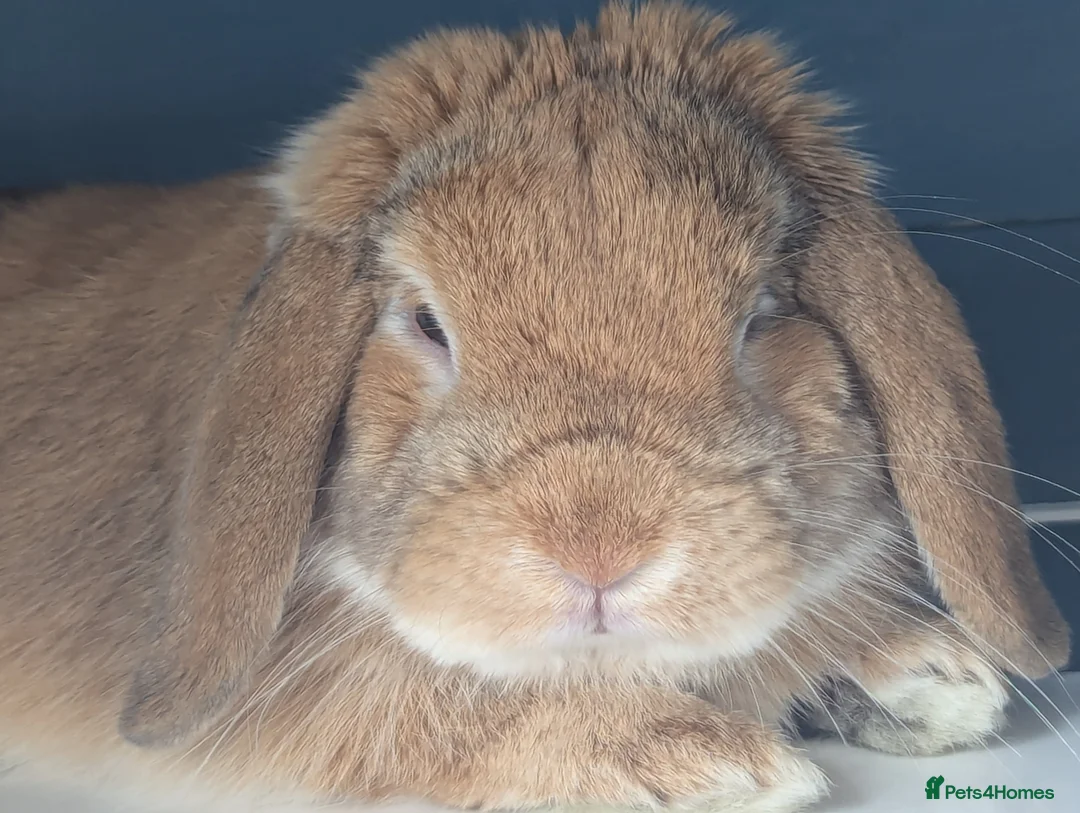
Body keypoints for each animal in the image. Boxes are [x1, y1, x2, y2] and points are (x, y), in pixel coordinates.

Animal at [0, 2, 1070, 811]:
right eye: (426, 323)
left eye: (764, 312)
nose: (600, 550)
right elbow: (416, 711)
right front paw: (705, 760)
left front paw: (923, 676)